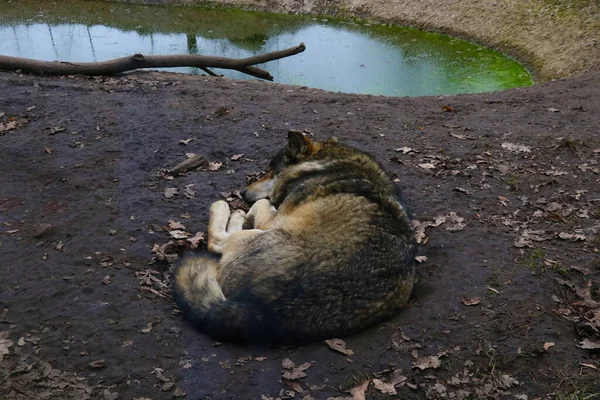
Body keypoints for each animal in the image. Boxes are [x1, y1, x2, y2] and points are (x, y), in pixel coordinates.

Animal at [172, 130, 418, 344]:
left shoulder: (273, 219)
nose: (242, 192)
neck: (324, 165)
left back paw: (228, 209)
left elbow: (263, 203)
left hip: (254, 236)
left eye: (270, 170)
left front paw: (242, 211)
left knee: (216, 240)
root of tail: (263, 313)